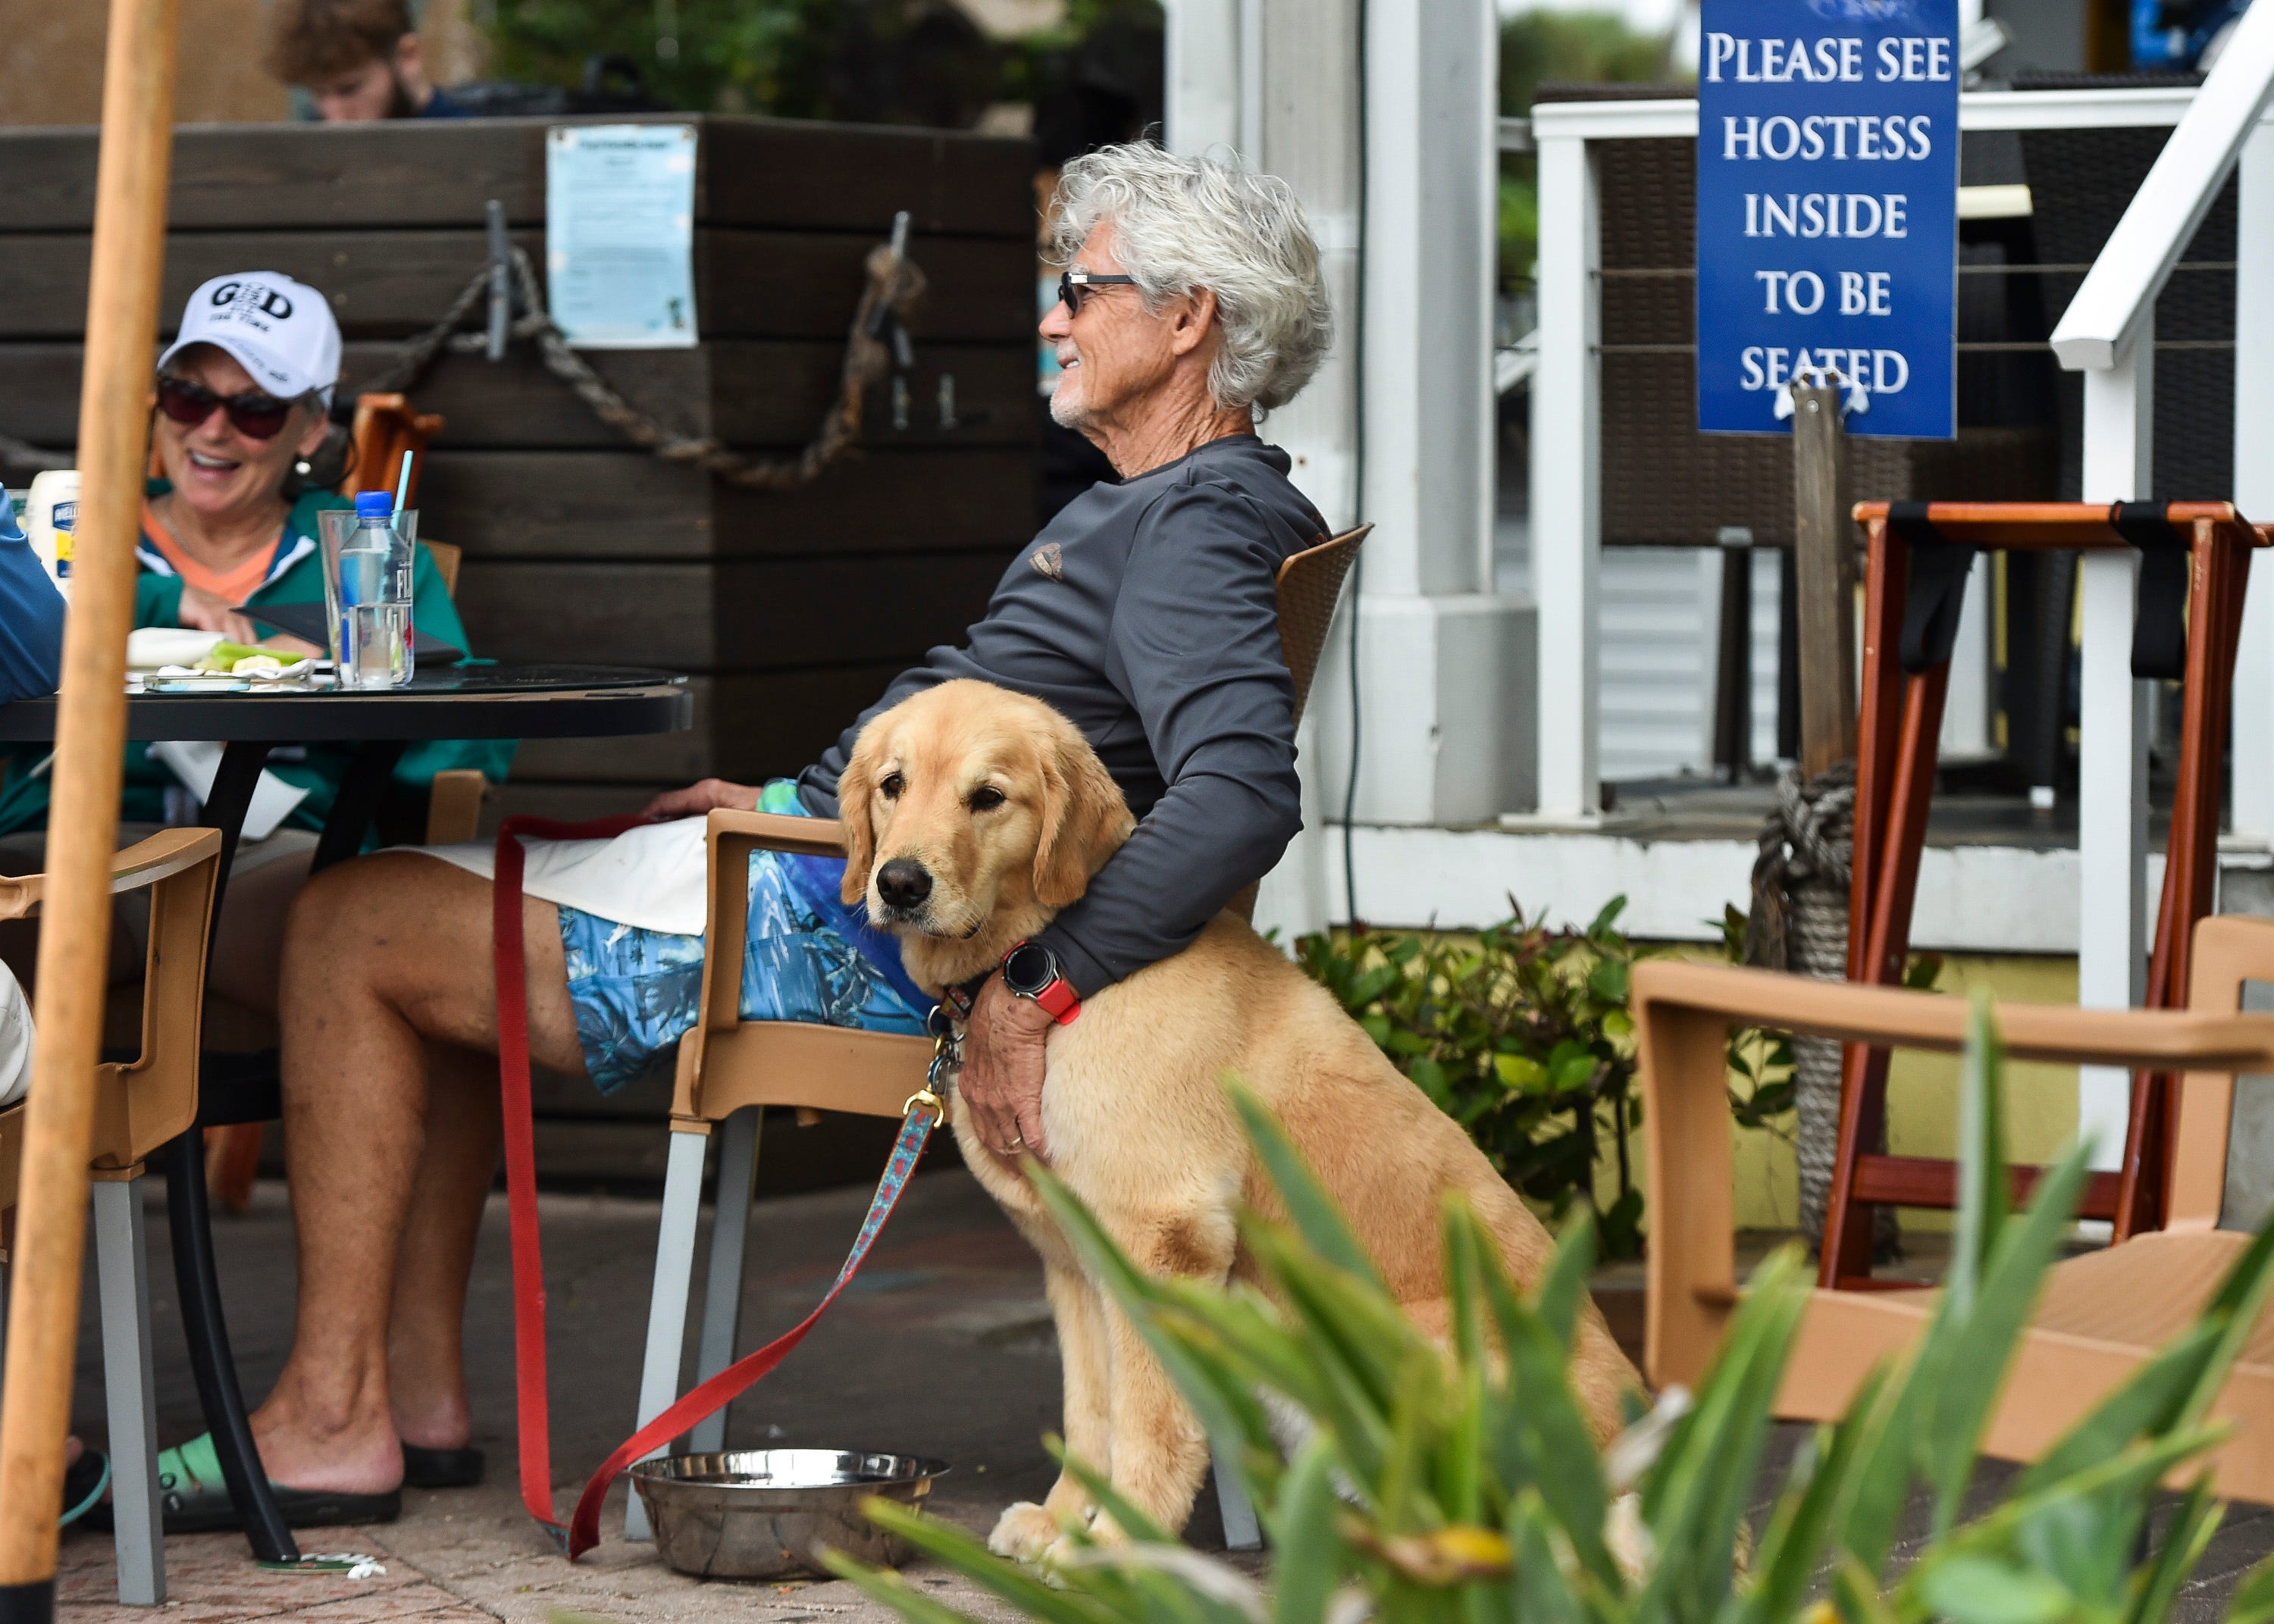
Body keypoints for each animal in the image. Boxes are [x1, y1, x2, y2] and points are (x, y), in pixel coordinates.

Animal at [837, 673, 1637, 1555]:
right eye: (893, 784)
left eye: (988, 796)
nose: (899, 883)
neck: (1046, 968)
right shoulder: (1073, 1259)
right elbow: (1090, 1412)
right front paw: (1063, 1521)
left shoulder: (1164, 1237)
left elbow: (1151, 1419)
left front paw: (1120, 1549)